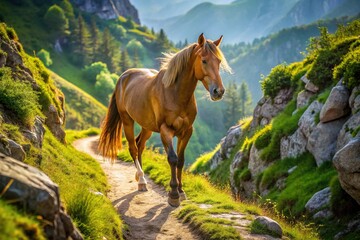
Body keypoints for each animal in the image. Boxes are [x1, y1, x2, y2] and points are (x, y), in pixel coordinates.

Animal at [97, 33, 231, 206]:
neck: (175, 93)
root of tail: (124, 77)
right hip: (127, 121)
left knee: (140, 145)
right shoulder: (165, 130)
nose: (218, 91)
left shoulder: (186, 131)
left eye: (219, 61)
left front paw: (181, 191)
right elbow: (172, 159)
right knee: (133, 148)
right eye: (204, 60)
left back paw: (140, 177)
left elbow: (181, 160)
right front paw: (173, 194)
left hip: (147, 126)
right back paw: (142, 180)